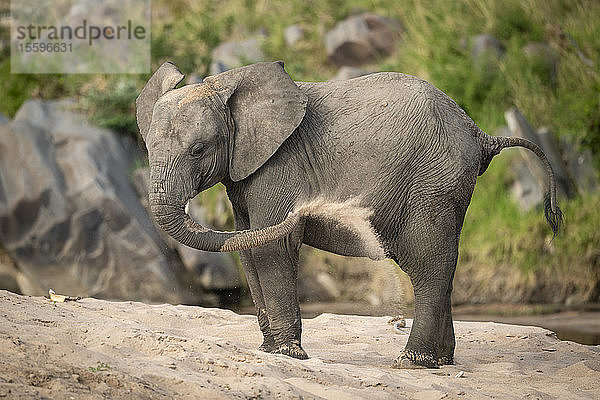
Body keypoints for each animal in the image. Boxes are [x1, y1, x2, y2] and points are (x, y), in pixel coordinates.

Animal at [137, 60, 564, 368]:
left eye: (198, 150)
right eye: (147, 148)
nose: (310, 208)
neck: (226, 83)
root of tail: (478, 132)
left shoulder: (279, 167)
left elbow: (274, 246)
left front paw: (289, 355)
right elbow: (248, 249)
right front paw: (270, 352)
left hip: (433, 181)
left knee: (428, 261)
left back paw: (413, 362)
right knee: (444, 264)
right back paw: (442, 361)